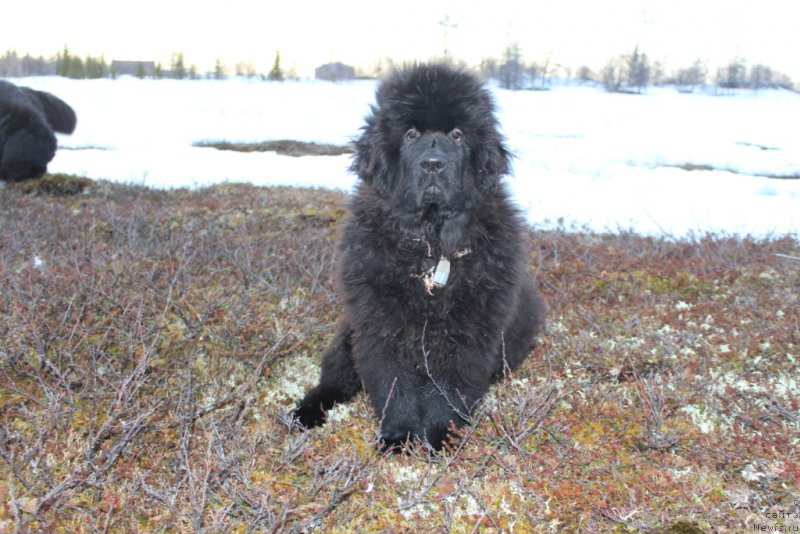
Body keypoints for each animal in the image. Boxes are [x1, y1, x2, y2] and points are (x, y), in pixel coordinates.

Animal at [290, 65, 548, 454]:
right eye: (411, 134)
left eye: (457, 135)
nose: (433, 164)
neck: (432, 245)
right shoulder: (379, 323)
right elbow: (393, 383)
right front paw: (398, 438)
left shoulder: (471, 331)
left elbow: (450, 388)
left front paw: (440, 438)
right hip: (349, 333)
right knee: (336, 379)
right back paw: (304, 413)